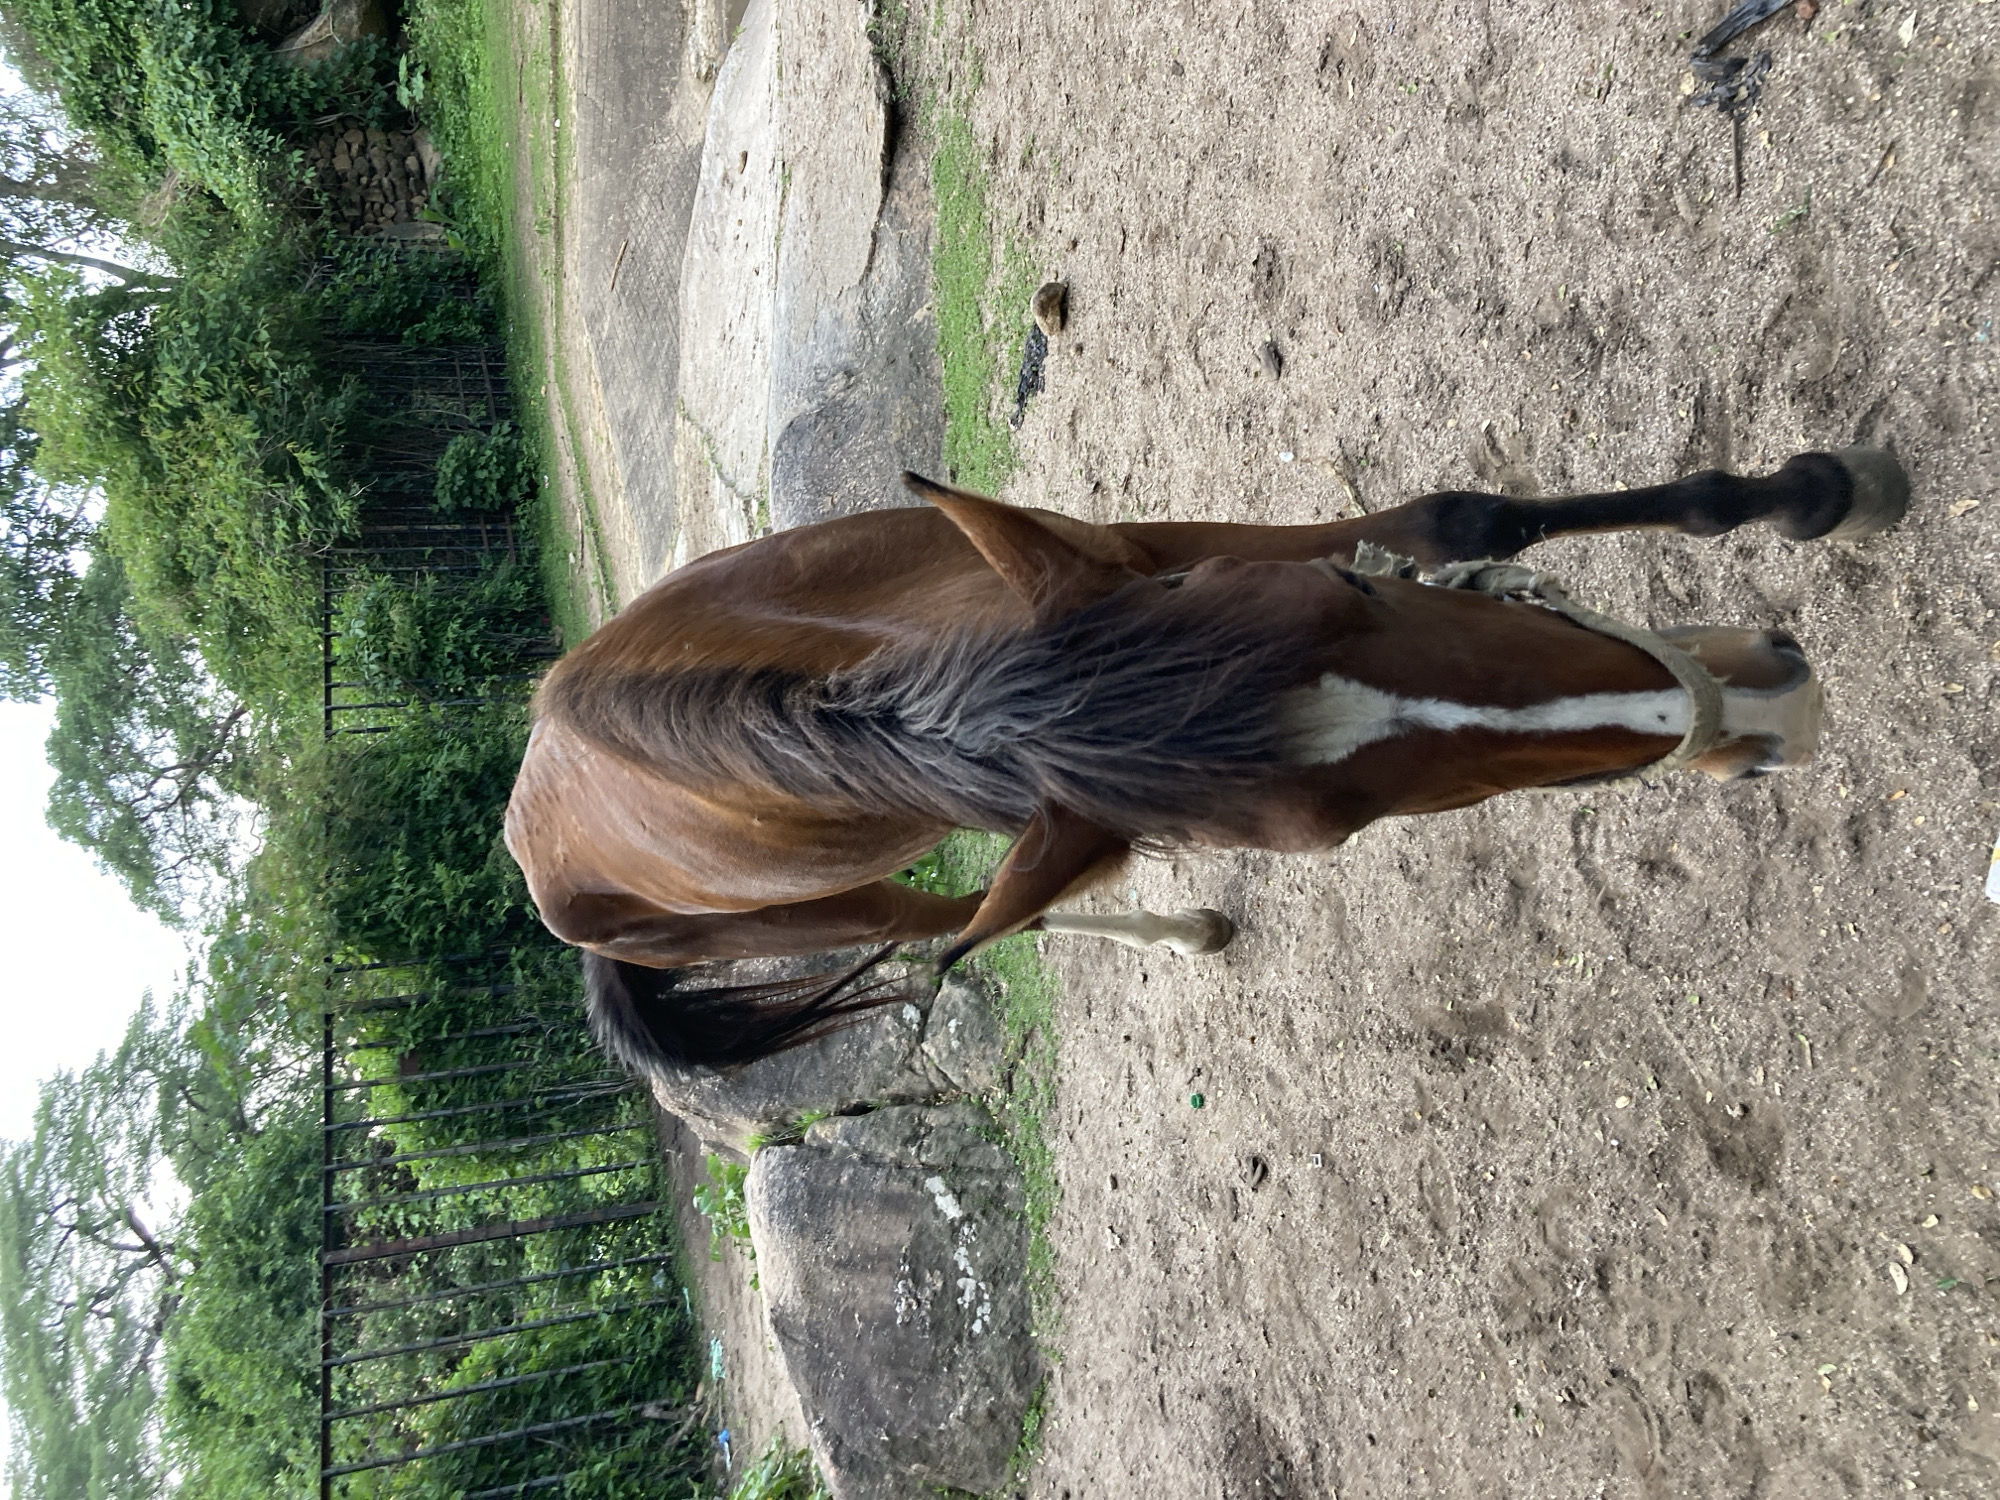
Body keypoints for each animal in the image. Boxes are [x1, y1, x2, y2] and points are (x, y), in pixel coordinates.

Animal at [502, 448, 1908, 1071]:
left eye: (1357, 601)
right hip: (848, 907)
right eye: (1337, 834)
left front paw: (1810, 490)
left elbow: (1452, 519)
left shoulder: (1139, 548)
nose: (1762, 708)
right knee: (962, 924)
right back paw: (1177, 930)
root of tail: (528, 825)